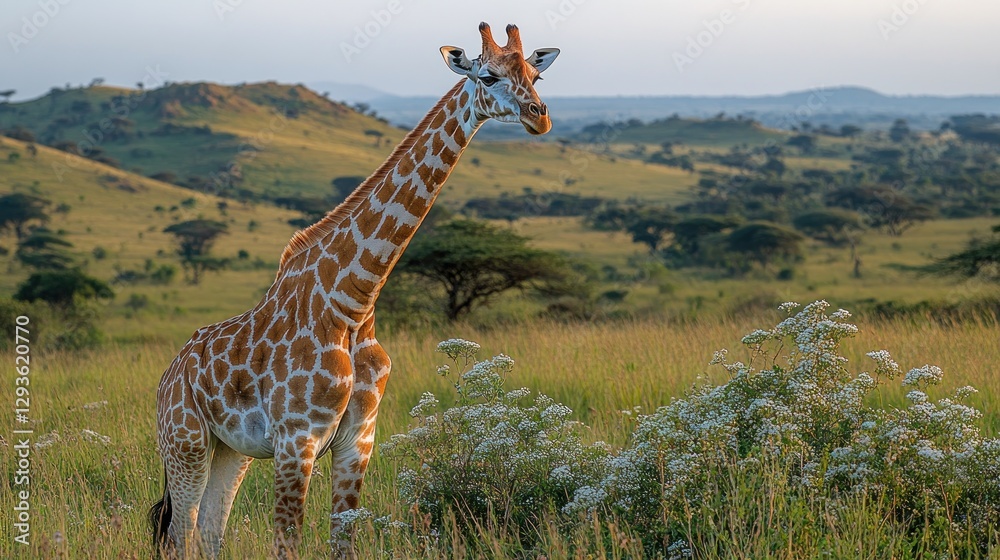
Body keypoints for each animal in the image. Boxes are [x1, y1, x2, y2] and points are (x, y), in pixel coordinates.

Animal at [149, 22, 559, 559]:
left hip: (230, 451)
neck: (353, 302)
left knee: (210, 530)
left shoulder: (357, 441)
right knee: (181, 532)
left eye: (535, 74)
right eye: (488, 76)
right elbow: (287, 543)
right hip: (186, 442)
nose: (539, 117)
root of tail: (167, 376)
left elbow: (344, 540)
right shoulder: (296, 440)